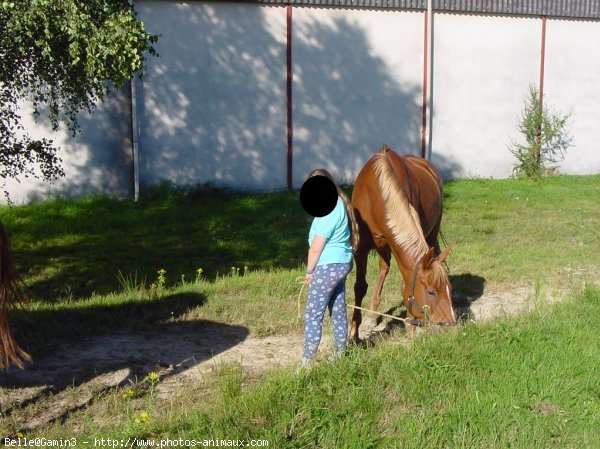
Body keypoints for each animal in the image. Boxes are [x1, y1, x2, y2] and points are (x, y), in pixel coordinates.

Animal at [346, 145, 454, 338]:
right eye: (431, 291)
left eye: (449, 289)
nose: (450, 327)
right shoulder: (362, 248)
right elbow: (359, 287)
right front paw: (354, 333)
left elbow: (405, 284)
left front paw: (410, 327)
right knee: (384, 268)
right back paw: (372, 314)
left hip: (430, 234)